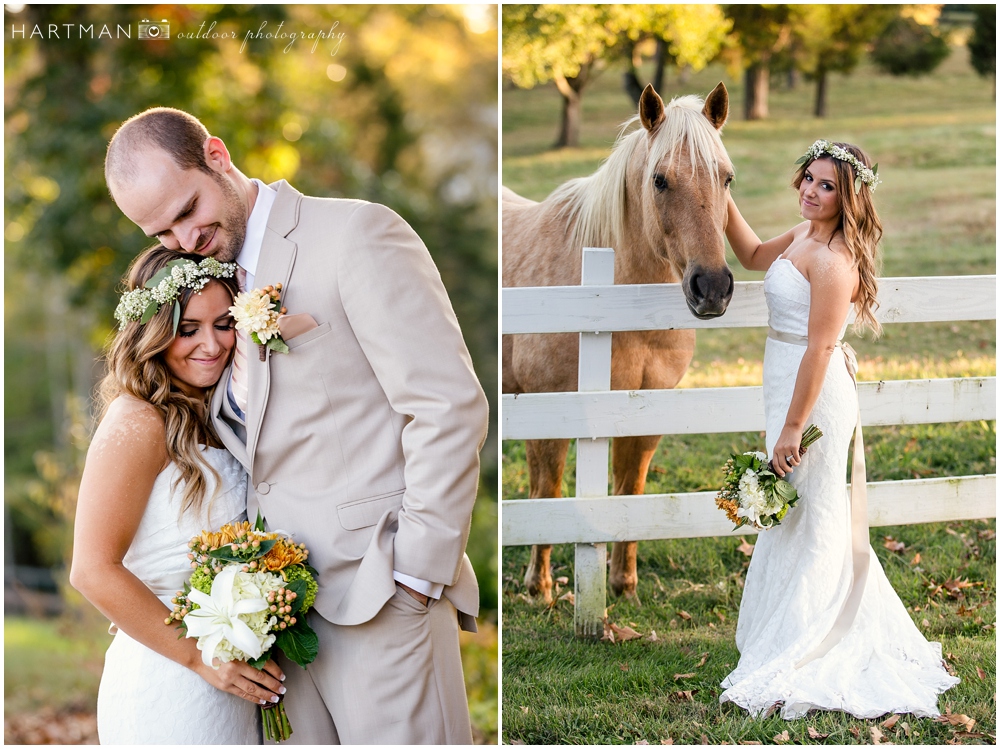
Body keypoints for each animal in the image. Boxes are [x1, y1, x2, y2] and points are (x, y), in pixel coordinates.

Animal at [508, 84, 736, 604]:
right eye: (659, 180)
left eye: (727, 178)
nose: (712, 288)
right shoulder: (552, 411)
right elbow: (549, 492)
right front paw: (540, 588)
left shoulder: (645, 409)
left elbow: (629, 492)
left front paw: (624, 585)